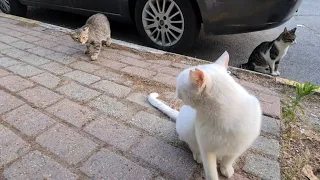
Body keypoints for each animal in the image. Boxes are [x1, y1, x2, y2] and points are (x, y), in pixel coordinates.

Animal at [149, 51, 262, 179]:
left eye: (178, 85)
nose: (175, 91)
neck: (223, 119)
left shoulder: (239, 147)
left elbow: (229, 159)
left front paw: (226, 168)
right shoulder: (206, 149)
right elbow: (211, 172)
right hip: (188, 130)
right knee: (191, 144)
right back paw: (197, 156)